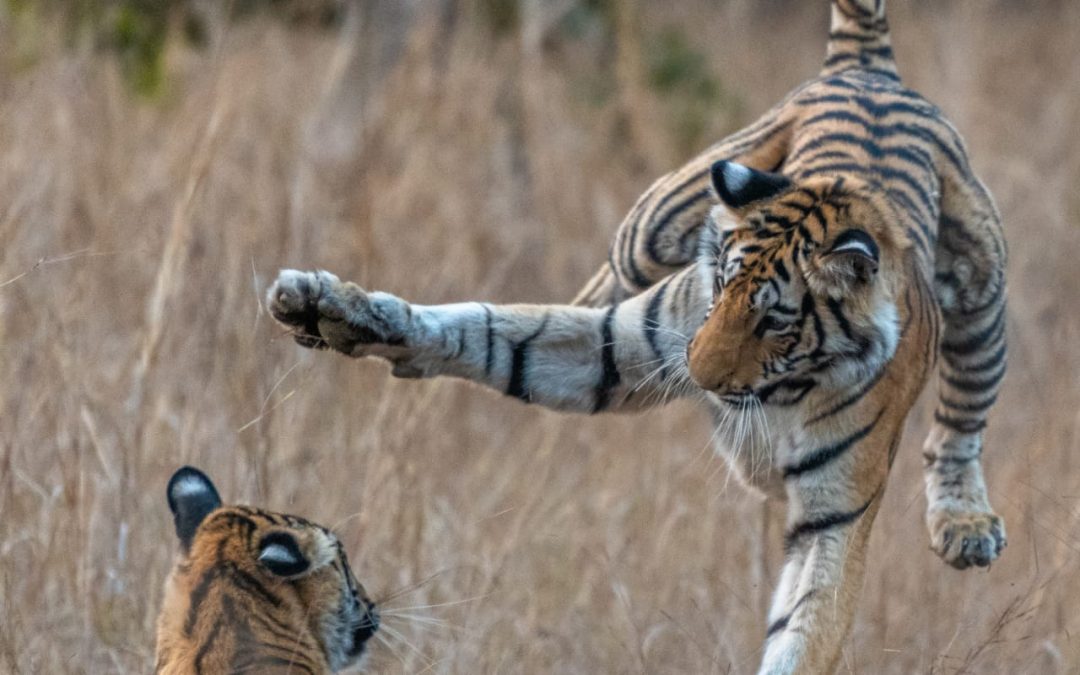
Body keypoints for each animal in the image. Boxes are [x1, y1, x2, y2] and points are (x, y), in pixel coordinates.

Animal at [265, 0, 1007, 672]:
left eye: (775, 320)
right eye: (721, 288)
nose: (697, 375)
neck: (783, 390)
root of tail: (867, 68)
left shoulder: (836, 514)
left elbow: (806, 625)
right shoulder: (627, 342)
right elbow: (491, 332)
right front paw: (332, 308)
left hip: (983, 286)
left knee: (960, 422)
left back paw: (965, 526)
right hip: (650, 228)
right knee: (587, 291)